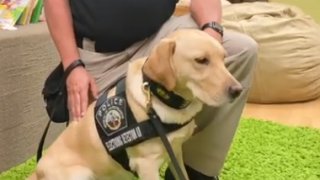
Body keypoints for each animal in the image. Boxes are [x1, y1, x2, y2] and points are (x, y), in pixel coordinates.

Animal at [28, 29, 242, 180]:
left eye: (223, 58)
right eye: (201, 60)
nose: (238, 90)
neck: (158, 97)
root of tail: (36, 172)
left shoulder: (176, 151)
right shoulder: (145, 165)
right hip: (80, 173)